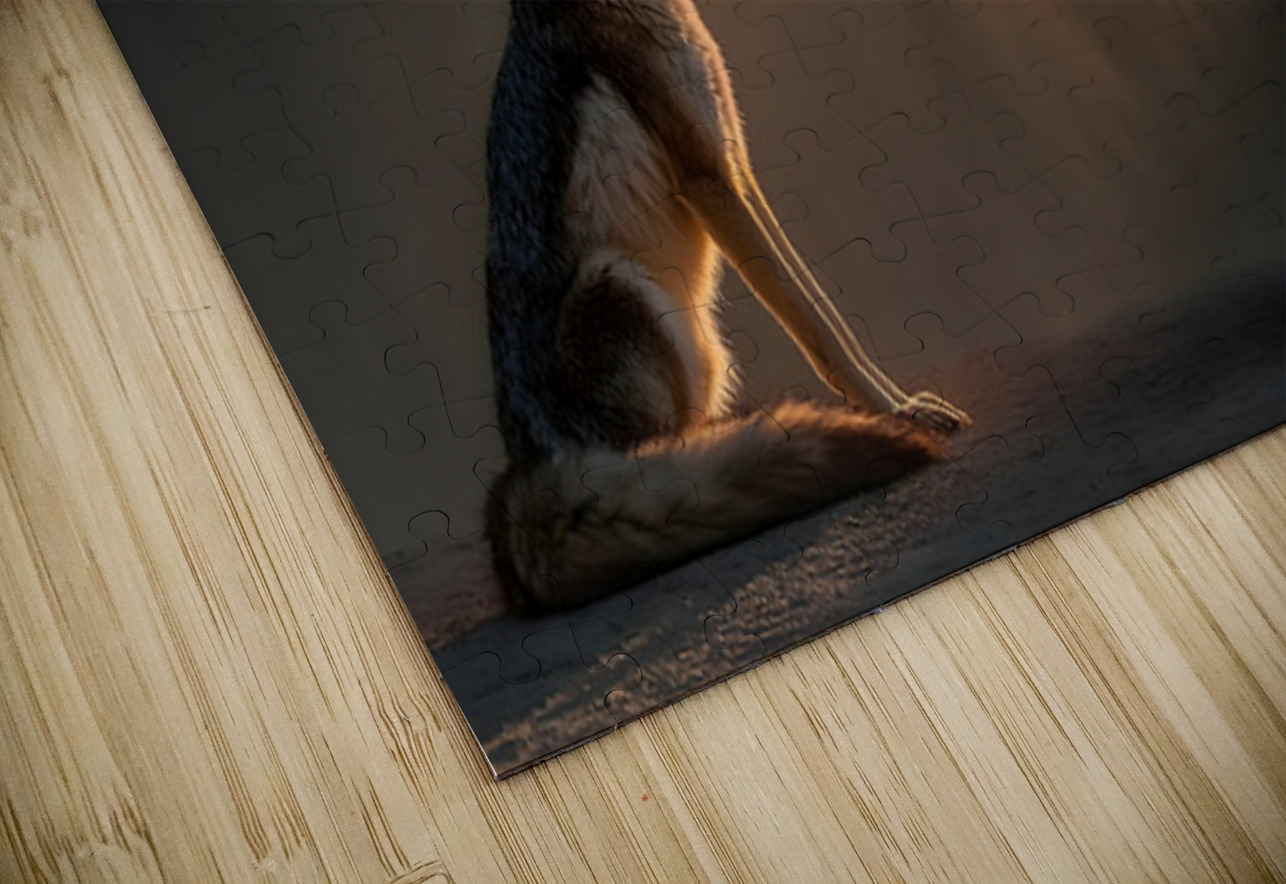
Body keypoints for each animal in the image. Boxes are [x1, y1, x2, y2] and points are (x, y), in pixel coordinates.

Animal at [483, 0, 970, 613]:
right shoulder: (709, 176)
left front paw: (898, 402)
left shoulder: (734, 159)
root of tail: (525, 471)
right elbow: (821, 334)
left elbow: (824, 314)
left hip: (702, 349)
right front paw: (897, 411)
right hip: (622, 283)